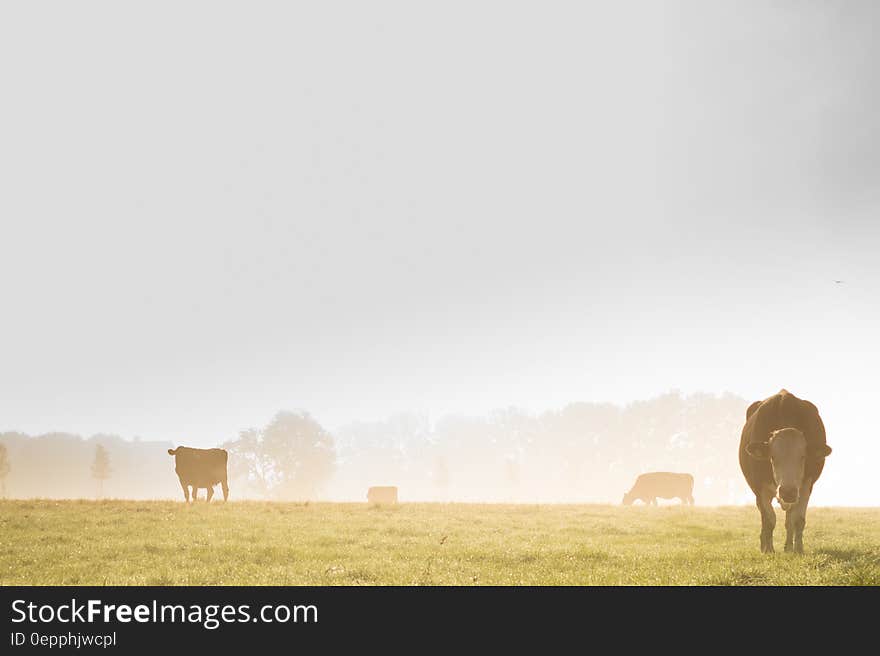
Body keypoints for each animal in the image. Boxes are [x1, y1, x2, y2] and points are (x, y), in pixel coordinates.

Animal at [736, 390, 832, 552]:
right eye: (772, 457)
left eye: (803, 457)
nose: (788, 492)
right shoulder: (760, 487)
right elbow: (769, 519)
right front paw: (769, 550)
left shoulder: (806, 485)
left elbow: (797, 520)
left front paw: (798, 550)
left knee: (789, 519)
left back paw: (788, 547)